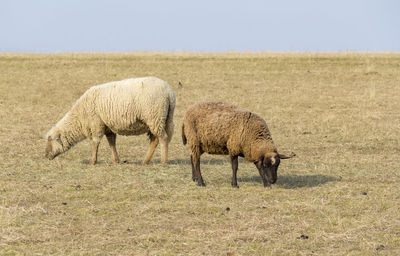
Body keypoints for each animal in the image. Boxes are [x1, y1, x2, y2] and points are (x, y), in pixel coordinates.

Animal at [45, 76, 175, 165]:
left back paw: (164, 161)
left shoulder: (96, 123)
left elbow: (95, 142)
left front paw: (93, 161)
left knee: (163, 138)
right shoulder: (107, 126)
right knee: (155, 140)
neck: (80, 118)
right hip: (163, 119)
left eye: (51, 141)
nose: (46, 156)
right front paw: (116, 160)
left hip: (155, 117)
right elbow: (112, 143)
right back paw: (145, 161)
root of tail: (169, 93)